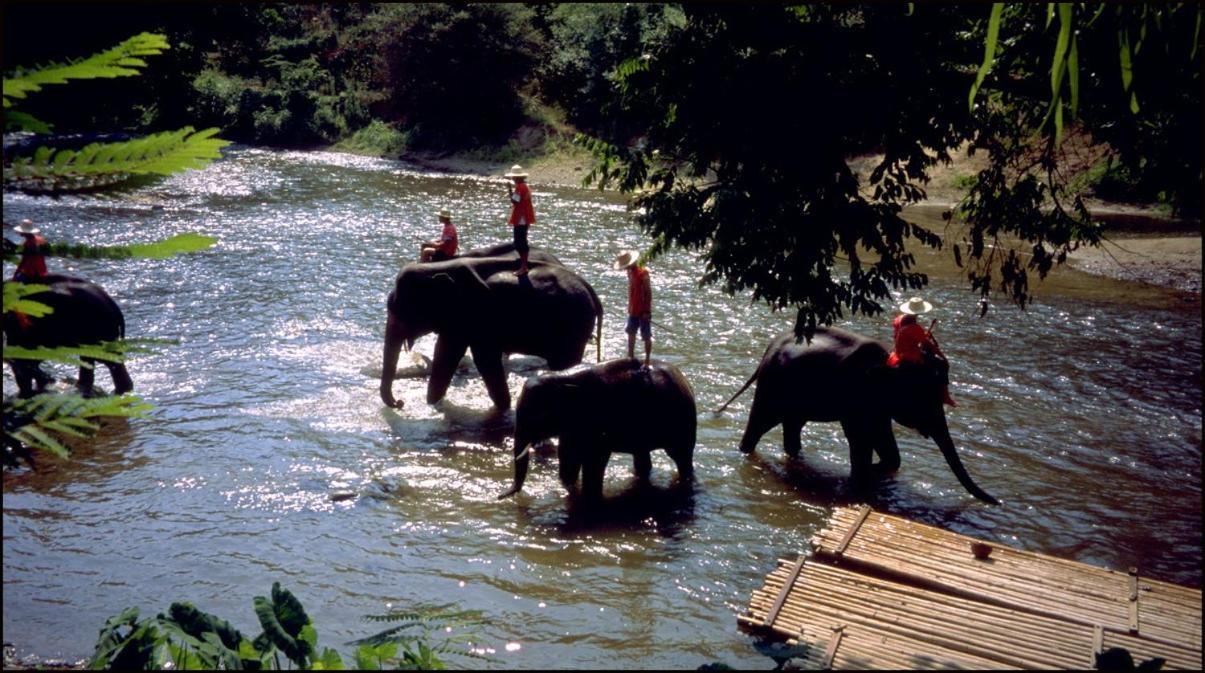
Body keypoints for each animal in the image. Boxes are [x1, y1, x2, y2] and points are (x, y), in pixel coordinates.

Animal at [380, 243, 602, 411]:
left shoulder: (476, 314)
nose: (400, 403)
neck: (442, 266)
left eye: (402, 312)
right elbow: (447, 354)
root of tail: (590, 290)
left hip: (573, 328)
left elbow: (476, 358)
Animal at [496, 358, 698, 500]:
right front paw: (572, 490)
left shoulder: (597, 422)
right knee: (642, 456)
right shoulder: (573, 426)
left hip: (682, 423)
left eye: (541, 414)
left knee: (681, 457)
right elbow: (569, 456)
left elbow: (595, 460)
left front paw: (589, 496)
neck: (564, 377)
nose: (499, 496)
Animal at [713, 327, 997, 505]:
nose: (997, 501)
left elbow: (887, 446)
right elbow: (860, 439)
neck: (891, 360)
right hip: (772, 386)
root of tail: (768, 349)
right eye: (924, 398)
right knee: (759, 426)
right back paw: (747, 452)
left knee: (792, 428)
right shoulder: (857, 399)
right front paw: (857, 479)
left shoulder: (877, 407)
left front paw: (868, 473)